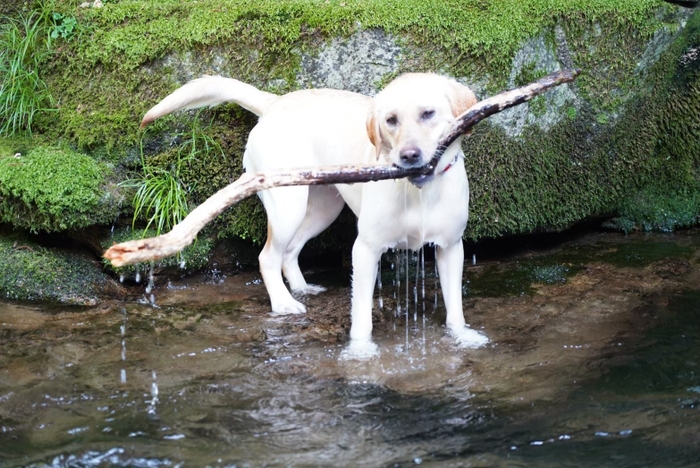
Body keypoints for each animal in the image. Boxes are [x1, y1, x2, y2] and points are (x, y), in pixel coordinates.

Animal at [141, 73, 486, 358]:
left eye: (428, 114)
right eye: (391, 120)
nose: (409, 156)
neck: (417, 192)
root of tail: (274, 102)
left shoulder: (451, 248)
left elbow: (455, 305)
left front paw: (462, 336)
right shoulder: (365, 250)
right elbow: (361, 314)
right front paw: (360, 352)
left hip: (323, 209)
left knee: (290, 252)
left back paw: (301, 288)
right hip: (288, 205)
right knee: (268, 256)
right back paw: (283, 302)